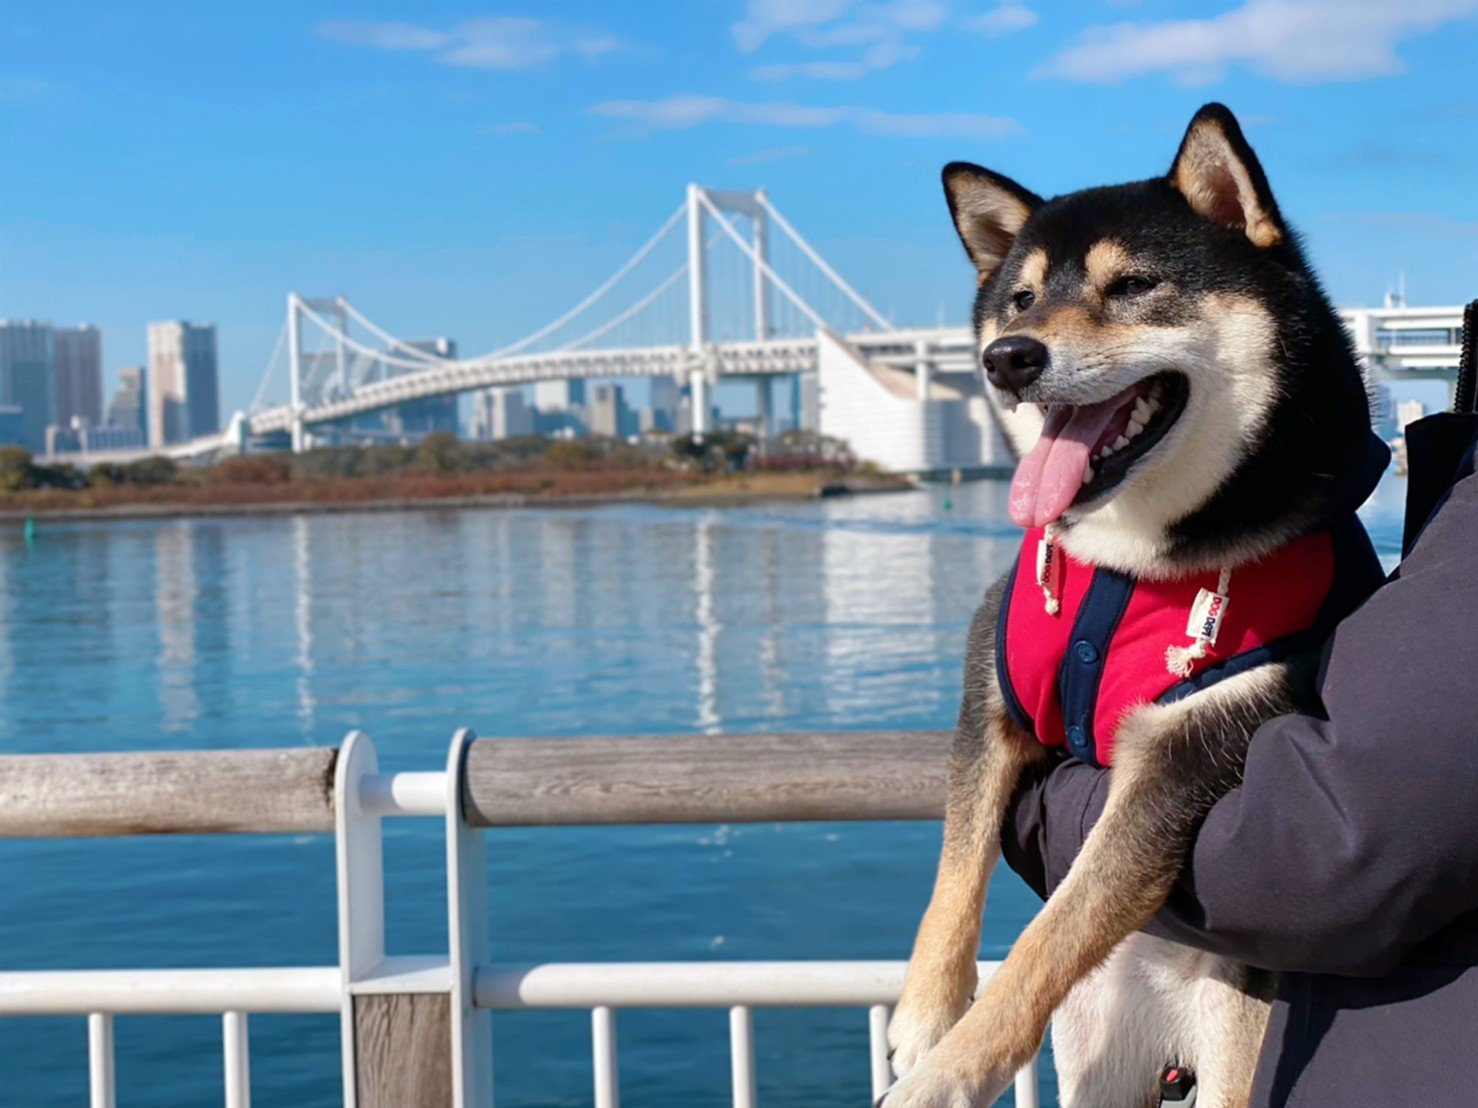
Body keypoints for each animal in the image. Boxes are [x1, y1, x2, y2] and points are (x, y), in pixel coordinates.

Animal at [880, 99, 1389, 1105]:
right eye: (1021, 298)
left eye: (1136, 285)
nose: (1005, 358)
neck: (1128, 563)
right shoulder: (991, 687)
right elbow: (956, 863)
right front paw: (924, 1020)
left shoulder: (1192, 747)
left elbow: (1055, 927)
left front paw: (949, 1075)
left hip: (1236, 1037)